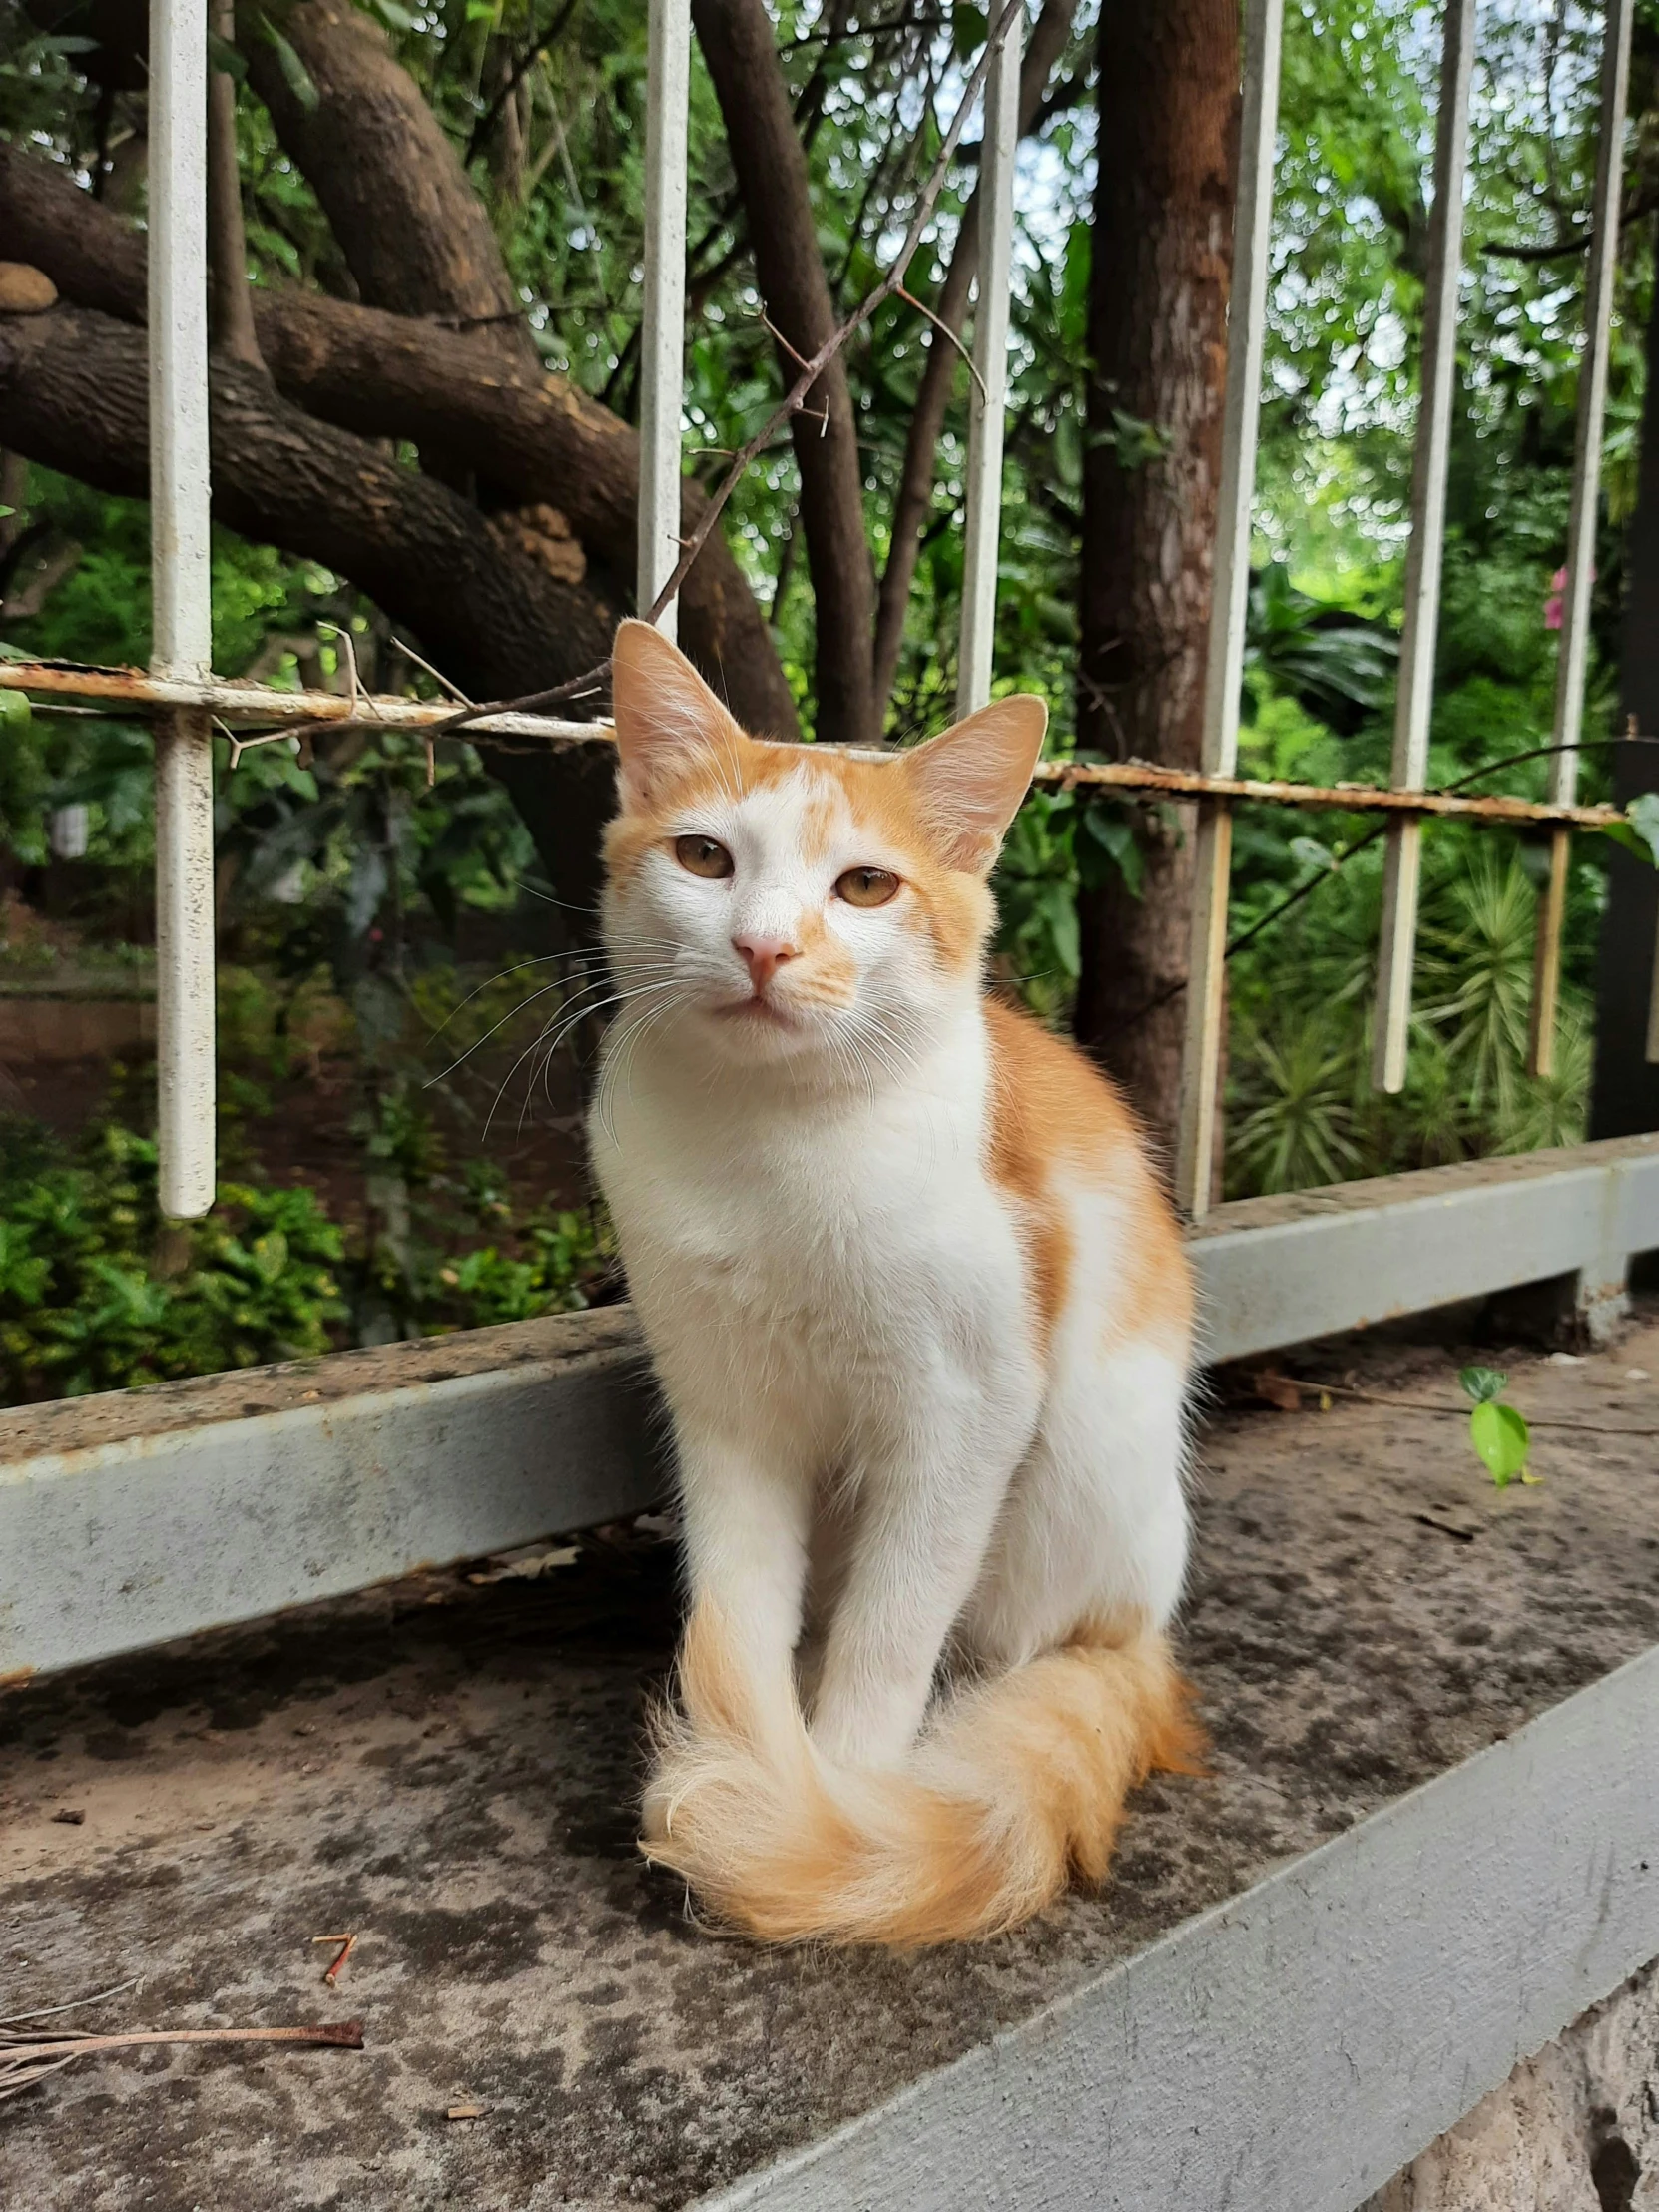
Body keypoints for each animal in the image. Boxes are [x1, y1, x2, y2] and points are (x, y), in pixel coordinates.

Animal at [592, 615, 1203, 1946]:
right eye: (704, 857)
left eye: (865, 886)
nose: (763, 945)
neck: (770, 1148)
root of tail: (1147, 1627)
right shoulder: (724, 1411)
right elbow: (739, 1599)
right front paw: (747, 1749)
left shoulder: (970, 1410)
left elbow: (893, 1624)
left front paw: (834, 1794)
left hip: (1067, 1494)